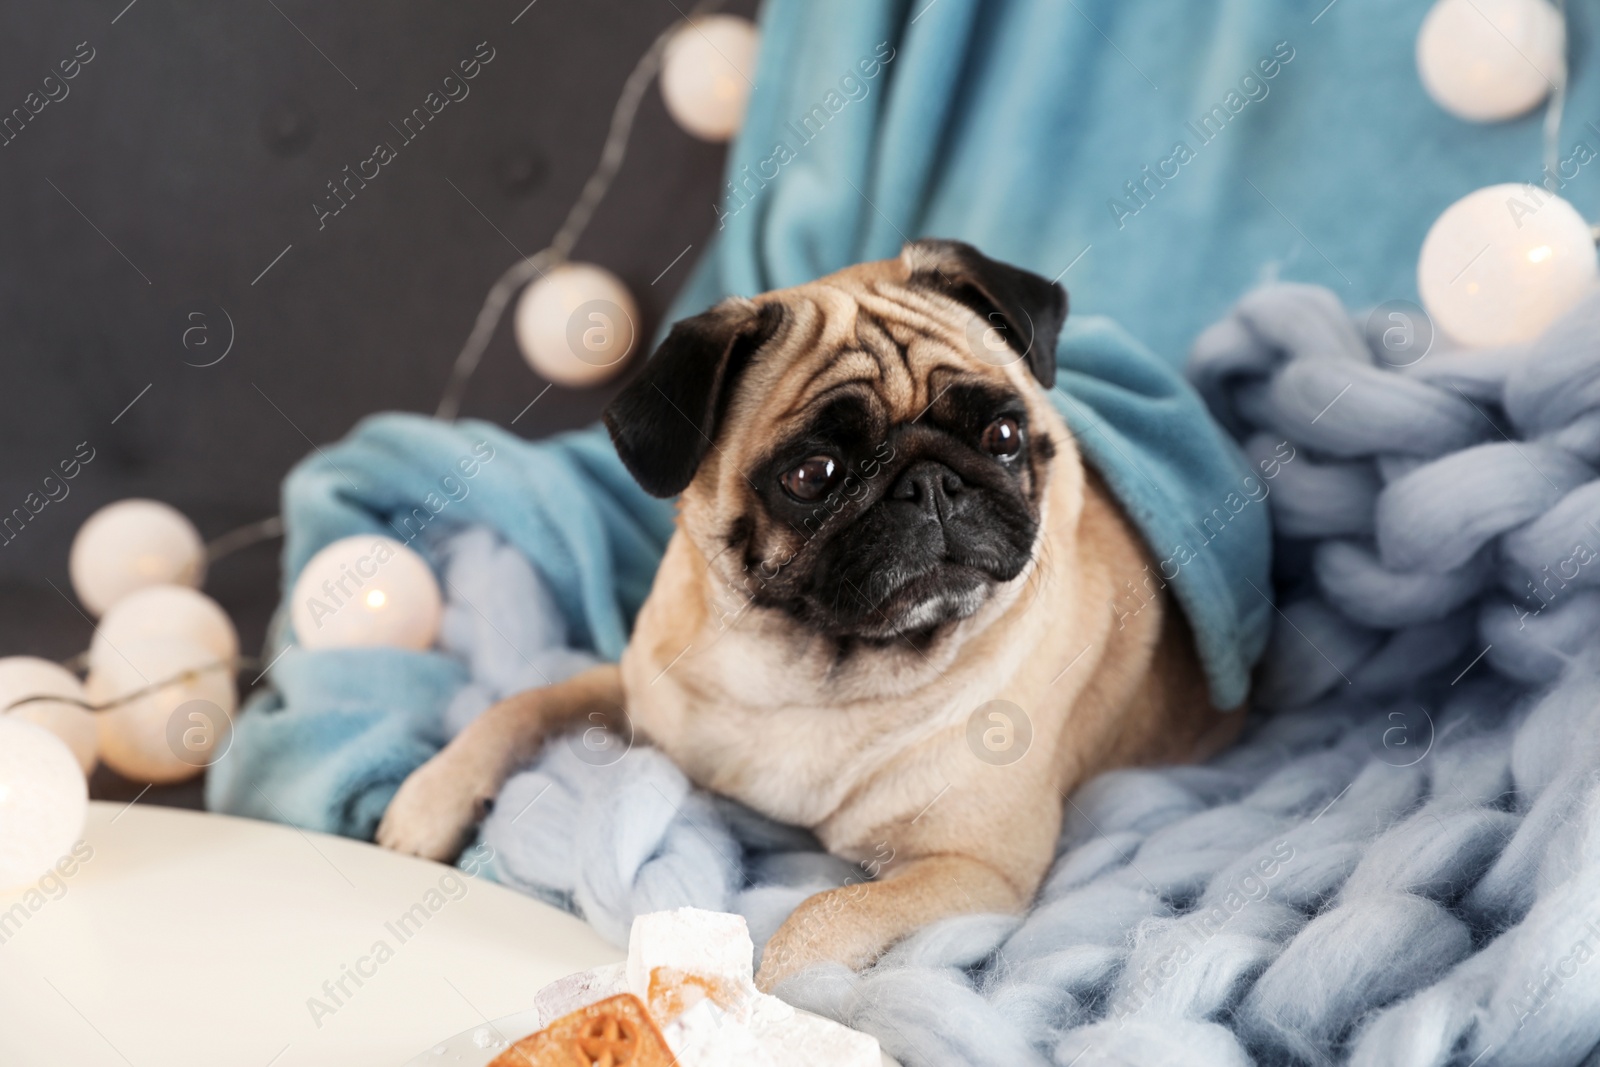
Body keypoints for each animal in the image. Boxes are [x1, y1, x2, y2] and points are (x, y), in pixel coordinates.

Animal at [377, 238, 1235, 991]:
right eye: (813, 474)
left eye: (1003, 433)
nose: (931, 483)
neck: (816, 669)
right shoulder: (636, 690)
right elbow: (522, 703)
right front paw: (429, 797)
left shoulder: (975, 865)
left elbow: (827, 910)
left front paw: (779, 997)